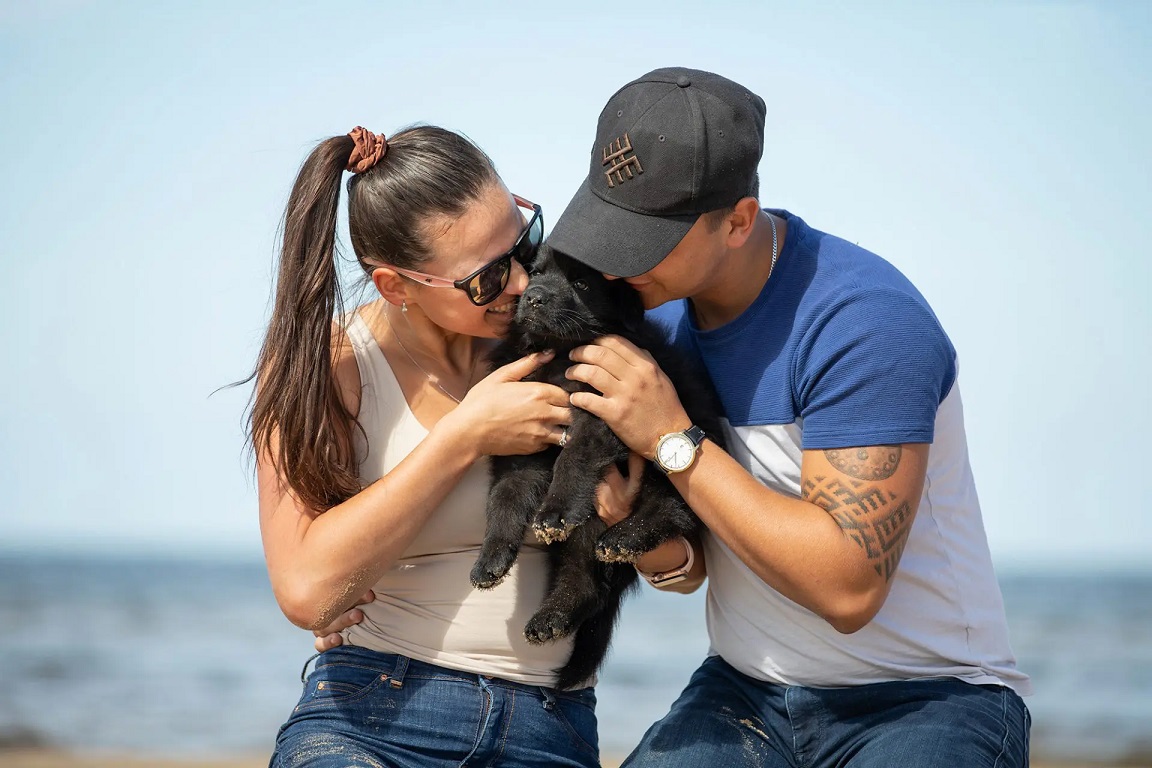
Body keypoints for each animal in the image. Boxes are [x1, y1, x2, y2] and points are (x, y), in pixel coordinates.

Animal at [469, 245, 726, 690]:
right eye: (535, 273)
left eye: (581, 283)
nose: (533, 297)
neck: (557, 356)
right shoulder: (519, 442)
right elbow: (504, 497)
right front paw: (491, 559)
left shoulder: (604, 412)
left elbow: (574, 457)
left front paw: (555, 511)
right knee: (584, 583)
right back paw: (550, 619)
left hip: (662, 470)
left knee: (669, 509)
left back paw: (625, 538)